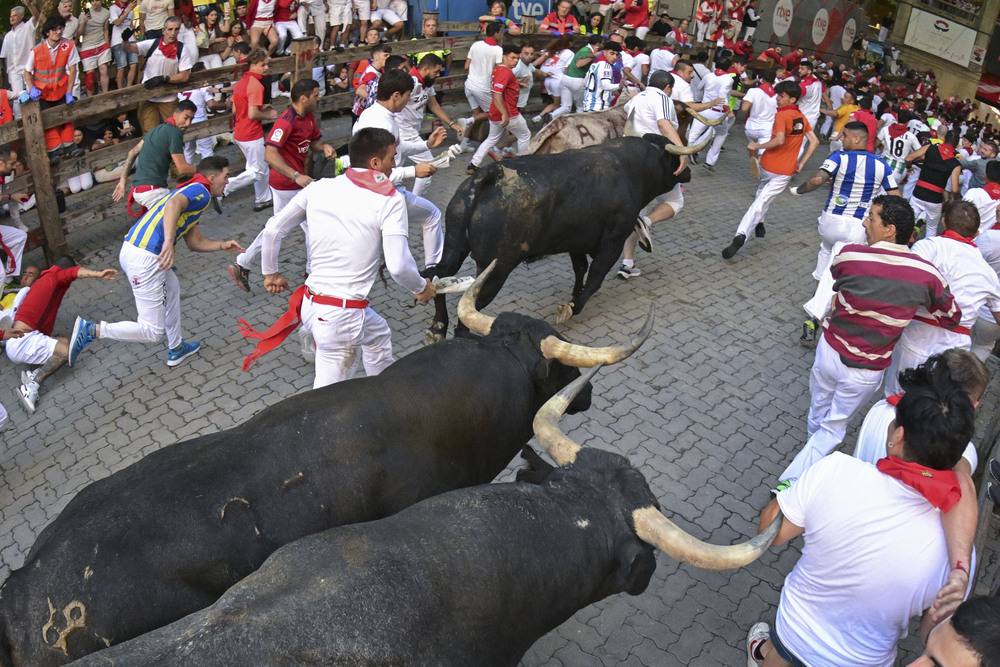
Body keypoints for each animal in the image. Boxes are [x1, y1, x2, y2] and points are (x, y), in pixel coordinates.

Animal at [426, 135, 692, 336]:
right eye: (674, 159)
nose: (688, 170)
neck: (629, 169)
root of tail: (494, 172)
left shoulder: (576, 241)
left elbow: (580, 269)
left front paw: (574, 295)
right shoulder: (612, 243)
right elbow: (594, 278)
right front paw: (572, 307)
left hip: (454, 247)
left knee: (437, 276)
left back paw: (437, 327)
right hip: (497, 267)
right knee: (466, 311)